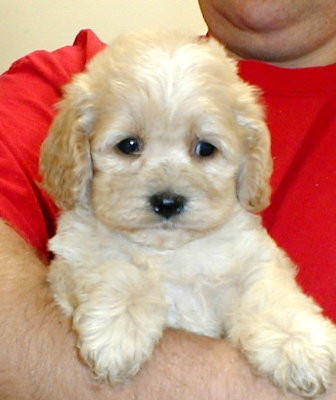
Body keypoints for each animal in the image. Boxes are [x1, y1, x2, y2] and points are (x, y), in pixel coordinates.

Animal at [40, 30, 336, 396]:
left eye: (205, 148)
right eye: (128, 145)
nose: (168, 202)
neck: (172, 252)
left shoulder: (253, 262)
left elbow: (269, 296)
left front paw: (299, 343)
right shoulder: (72, 262)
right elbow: (117, 266)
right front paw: (118, 330)